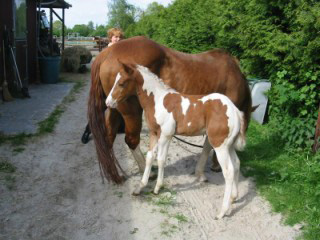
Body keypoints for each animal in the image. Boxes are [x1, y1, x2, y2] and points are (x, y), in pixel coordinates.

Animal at [88, 36, 252, 184]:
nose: (216, 167)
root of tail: (108, 52)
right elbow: (208, 145)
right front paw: (201, 172)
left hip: (114, 108)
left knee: (109, 138)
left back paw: (116, 176)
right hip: (130, 112)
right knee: (131, 140)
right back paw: (148, 173)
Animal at [106, 62, 246, 219]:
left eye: (121, 83)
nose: (108, 102)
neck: (157, 101)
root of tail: (235, 111)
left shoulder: (166, 135)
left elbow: (161, 160)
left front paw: (157, 188)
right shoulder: (154, 133)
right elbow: (150, 158)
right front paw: (140, 187)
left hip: (219, 145)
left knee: (228, 171)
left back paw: (222, 212)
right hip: (229, 145)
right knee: (236, 165)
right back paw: (233, 198)